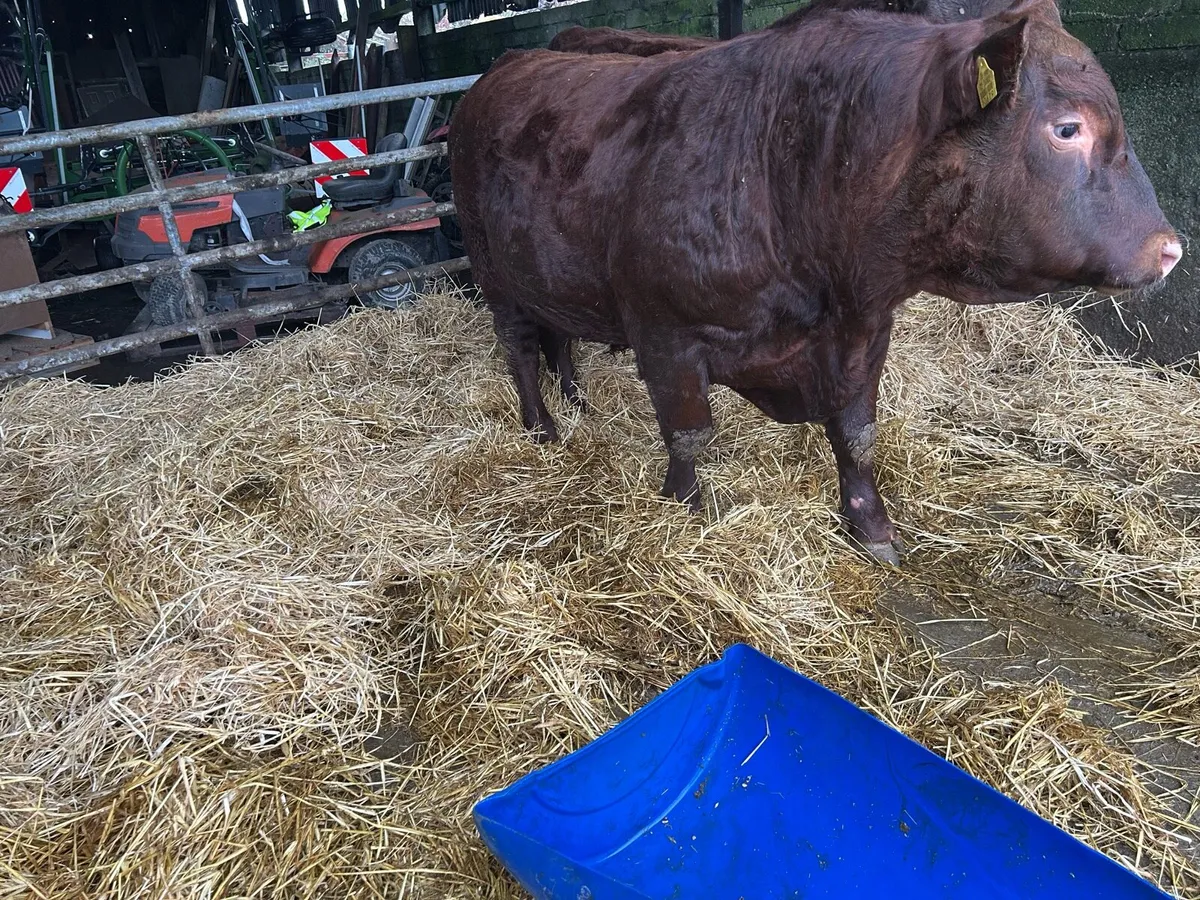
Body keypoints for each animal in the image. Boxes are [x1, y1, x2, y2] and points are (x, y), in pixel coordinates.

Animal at [448, 0, 1182, 565]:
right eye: (1067, 128)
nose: (1172, 250)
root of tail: (506, 67)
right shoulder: (664, 333)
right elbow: (688, 435)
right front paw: (685, 511)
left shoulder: (864, 331)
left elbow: (856, 435)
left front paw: (871, 527)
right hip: (493, 271)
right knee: (519, 348)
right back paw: (542, 426)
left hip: (550, 272)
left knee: (559, 336)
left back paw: (576, 401)